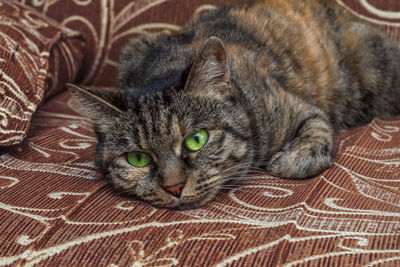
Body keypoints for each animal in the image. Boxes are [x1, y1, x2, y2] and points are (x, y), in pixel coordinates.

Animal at [67, 0, 398, 210]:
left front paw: (290, 160)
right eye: (138, 158)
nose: (174, 187)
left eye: (196, 139)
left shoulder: (297, 107)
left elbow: (316, 131)